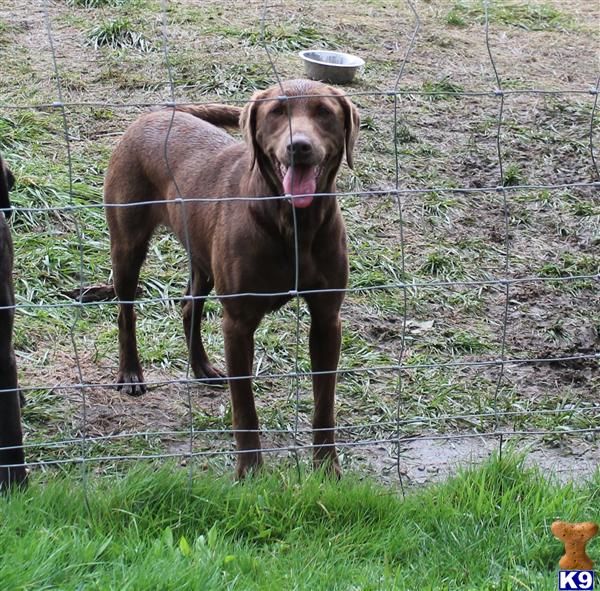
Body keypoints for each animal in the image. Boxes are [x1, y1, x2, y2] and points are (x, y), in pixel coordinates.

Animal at [103, 78, 358, 478]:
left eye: (323, 112)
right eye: (277, 111)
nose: (298, 146)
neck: (292, 224)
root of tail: (155, 113)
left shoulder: (327, 319)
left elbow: (324, 404)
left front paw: (326, 469)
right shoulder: (237, 323)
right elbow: (245, 407)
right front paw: (250, 472)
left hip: (202, 256)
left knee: (189, 306)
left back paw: (202, 368)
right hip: (128, 245)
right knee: (125, 312)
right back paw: (130, 374)